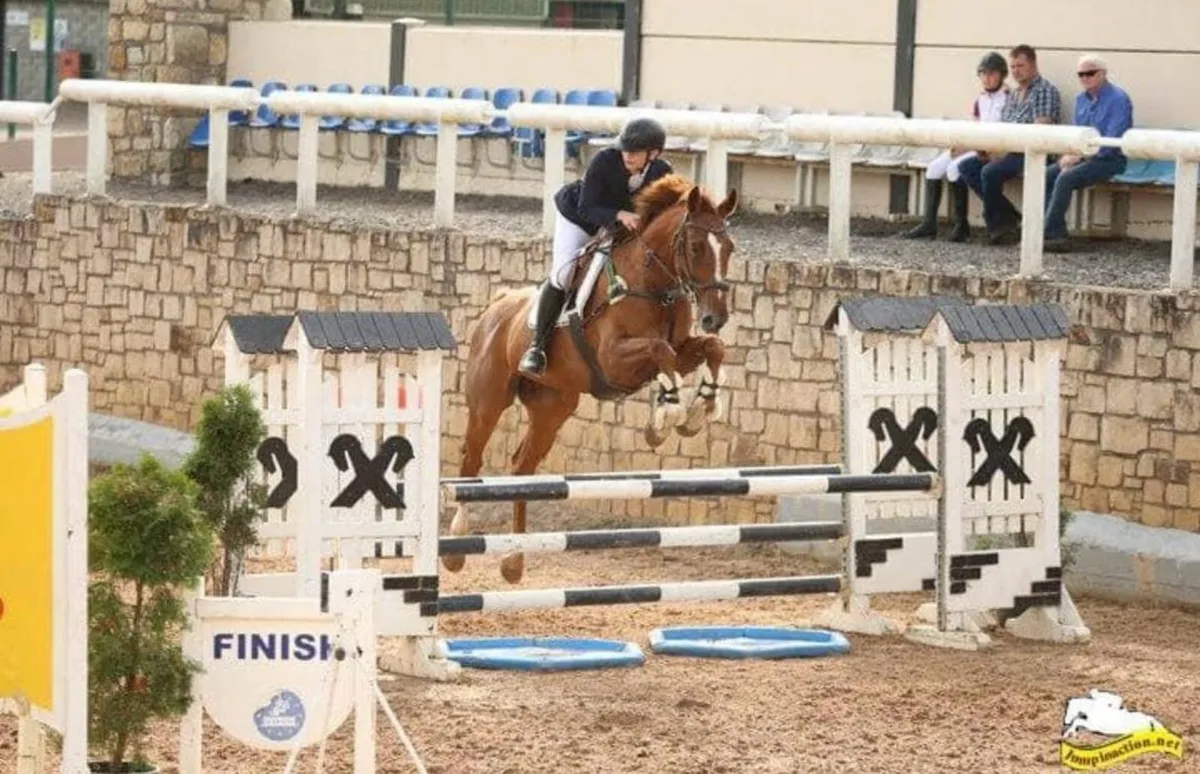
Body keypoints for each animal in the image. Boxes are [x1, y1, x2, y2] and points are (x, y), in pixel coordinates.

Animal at [443, 174, 739, 583]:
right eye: (695, 247)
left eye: (729, 248)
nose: (715, 317)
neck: (652, 284)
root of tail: (497, 305)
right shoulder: (614, 360)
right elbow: (660, 350)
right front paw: (666, 417)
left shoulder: (682, 352)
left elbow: (711, 348)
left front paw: (698, 410)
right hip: (488, 401)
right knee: (471, 460)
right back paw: (456, 550)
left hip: (553, 407)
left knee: (522, 468)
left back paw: (514, 561)